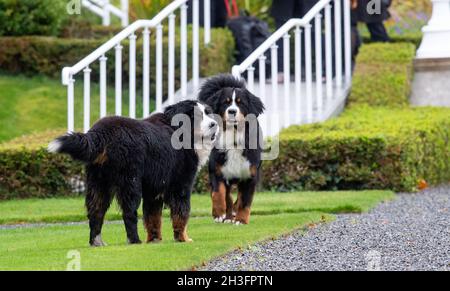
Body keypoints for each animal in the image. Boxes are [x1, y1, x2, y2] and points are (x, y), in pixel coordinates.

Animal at [48, 100, 218, 246]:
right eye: (197, 116)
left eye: (208, 113)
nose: (214, 124)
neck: (181, 132)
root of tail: (101, 132)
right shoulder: (181, 185)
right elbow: (181, 214)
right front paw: (183, 238)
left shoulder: (154, 190)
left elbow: (153, 218)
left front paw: (155, 239)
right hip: (130, 182)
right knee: (129, 213)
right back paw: (134, 240)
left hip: (99, 183)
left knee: (95, 212)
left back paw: (96, 242)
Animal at [199, 74, 266, 226]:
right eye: (226, 102)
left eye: (240, 103)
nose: (232, 111)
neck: (234, 137)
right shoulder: (217, 170)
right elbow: (218, 194)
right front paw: (219, 213)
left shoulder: (250, 175)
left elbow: (244, 200)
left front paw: (241, 219)